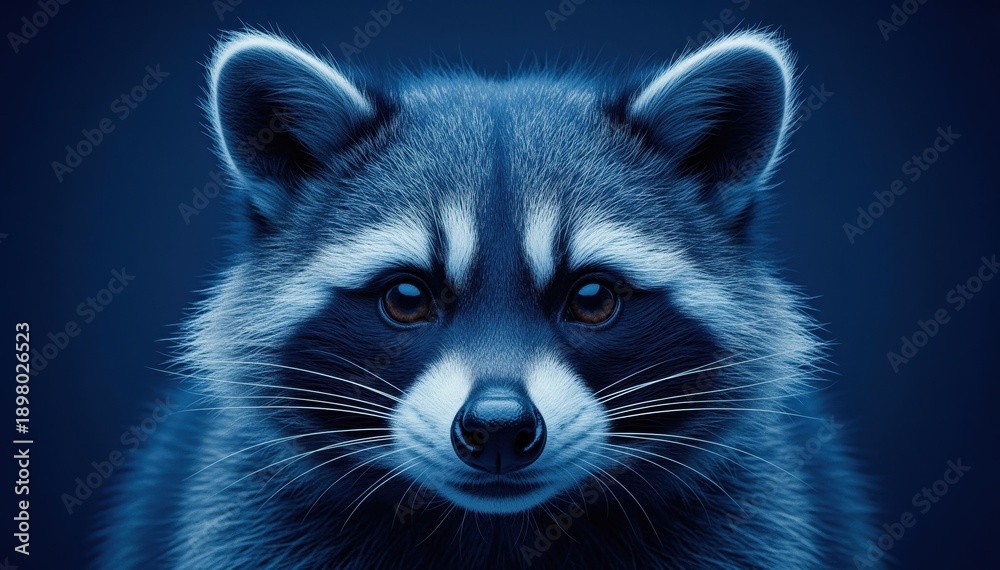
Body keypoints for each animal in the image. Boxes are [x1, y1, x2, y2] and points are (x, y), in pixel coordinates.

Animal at [97, 30, 872, 569]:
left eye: (593, 297)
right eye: (407, 297)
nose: (498, 428)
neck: (499, 532)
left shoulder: (756, 521)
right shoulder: (245, 519)